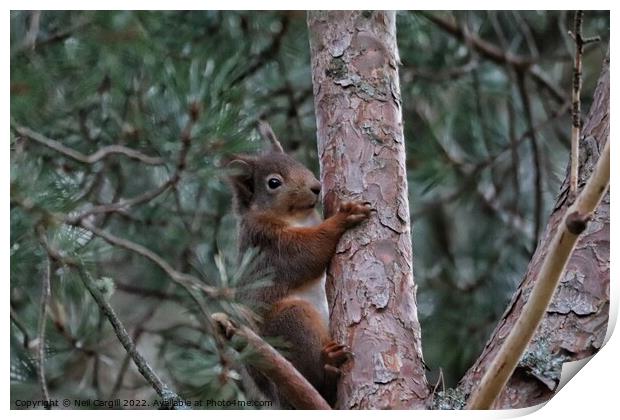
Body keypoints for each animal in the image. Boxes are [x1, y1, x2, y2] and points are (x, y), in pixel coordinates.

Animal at [226, 121, 368, 406]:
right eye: (273, 183)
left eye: (297, 162)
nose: (316, 187)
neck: (298, 218)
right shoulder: (271, 247)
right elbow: (309, 252)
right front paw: (344, 217)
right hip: (290, 322)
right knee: (318, 384)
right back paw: (328, 366)